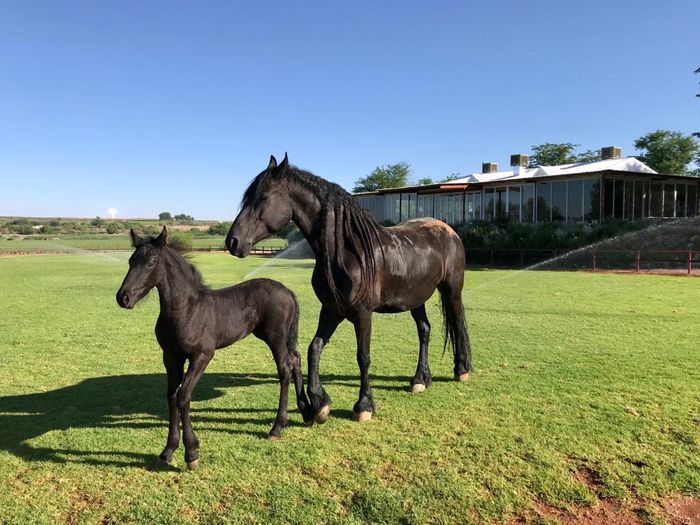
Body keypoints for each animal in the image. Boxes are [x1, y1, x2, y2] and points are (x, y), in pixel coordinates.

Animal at [116, 226, 311, 470]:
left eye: (150, 263)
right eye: (131, 261)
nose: (123, 297)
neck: (186, 309)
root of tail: (287, 291)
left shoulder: (202, 355)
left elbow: (183, 396)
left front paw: (191, 453)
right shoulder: (171, 356)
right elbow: (171, 397)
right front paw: (167, 451)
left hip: (275, 337)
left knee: (285, 369)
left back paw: (276, 428)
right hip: (277, 337)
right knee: (295, 359)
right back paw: (307, 413)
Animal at [225, 154, 472, 424]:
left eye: (263, 198)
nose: (232, 242)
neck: (348, 253)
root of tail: (449, 232)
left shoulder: (362, 314)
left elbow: (363, 357)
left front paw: (364, 406)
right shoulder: (331, 310)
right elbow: (314, 348)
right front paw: (319, 403)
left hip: (452, 290)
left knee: (458, 323)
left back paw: (461, 369)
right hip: (416, 299)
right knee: (424, 330)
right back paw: (420, 380)